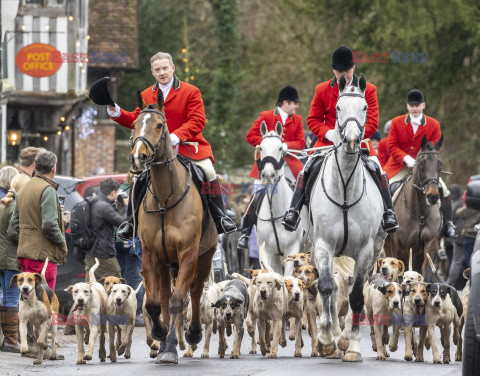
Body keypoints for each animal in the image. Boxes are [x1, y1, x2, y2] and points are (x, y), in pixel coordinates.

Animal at [128, 89, 217, 362]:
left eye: (159, 125)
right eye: (135, 124)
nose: (138, 157)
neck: (165, 198)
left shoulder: (188, 254)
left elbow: (180, 300)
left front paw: (169, 347)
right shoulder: (151, 255)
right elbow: (154, 303)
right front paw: (160, 333)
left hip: (204, 257)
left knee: (196, 292)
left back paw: (192, 333)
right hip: (166, 263)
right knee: (165, 298)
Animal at [310, 74, 388, 362]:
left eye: (365, 107)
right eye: (338, 108)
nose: (353, 140)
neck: (344, 188)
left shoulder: (365, 250)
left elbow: (356, 296)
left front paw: (351, 344)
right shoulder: (323, 245)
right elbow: (326, 287)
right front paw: (326, 339)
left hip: (373, 250)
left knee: (356, 285)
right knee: (332, 287)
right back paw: (332, 336)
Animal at [384, 135, 444, 276]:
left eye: (440, 163)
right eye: (422, 163)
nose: (433, 196)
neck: (420, 213)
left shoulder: (430, 245)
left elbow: (426, 273)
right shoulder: (402, 248)